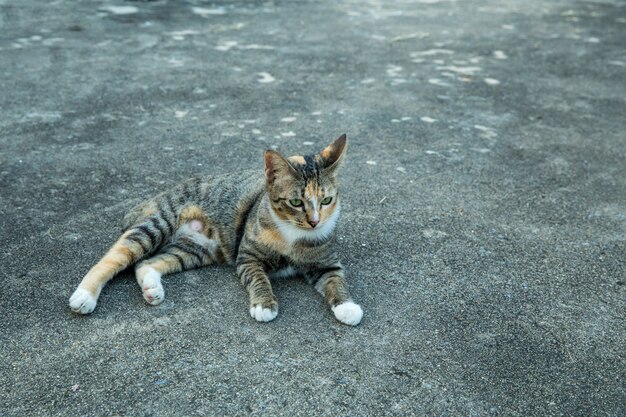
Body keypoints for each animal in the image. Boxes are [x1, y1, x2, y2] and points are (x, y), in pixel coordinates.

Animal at [67, 133, 360, 324]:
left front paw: (347, 307)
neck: (294, 234)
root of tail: (160, 194)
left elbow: (336, 280)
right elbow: (259, 278)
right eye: (296, 202)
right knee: (114, 257)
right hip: (158, 224)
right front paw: (264, 305)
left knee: (145, 263)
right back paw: (84, 295)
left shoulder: (326, 262)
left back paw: (152, 288)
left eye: (326, 200)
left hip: (195, 250)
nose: (315, 221)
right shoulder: (247, 257)